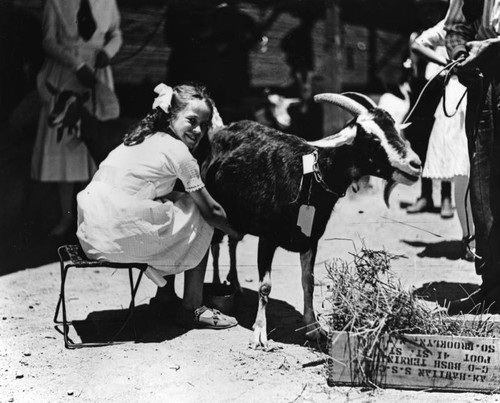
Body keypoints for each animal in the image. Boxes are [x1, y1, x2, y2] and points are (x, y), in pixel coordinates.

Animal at [200, 93, 422, 348]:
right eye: (372, 138)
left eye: (395, 129)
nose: (416, 164)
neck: (307, 176)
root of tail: (222, 129)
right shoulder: (267, 237)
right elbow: (265, 286)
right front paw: (259, 335)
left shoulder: (311, 238)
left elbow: (309, 282)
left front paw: (314, 328)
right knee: (216, 245)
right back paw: (219, 282)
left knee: (233, 242)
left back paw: (235, 284)